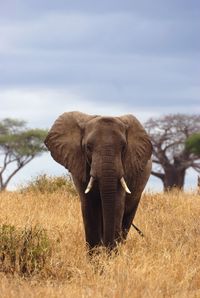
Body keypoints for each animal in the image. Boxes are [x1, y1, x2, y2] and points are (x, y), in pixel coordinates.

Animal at [45, 112, 152, 251]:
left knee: (128, 216)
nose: (108, 247)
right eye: (88, 147)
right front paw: (95, 255)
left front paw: (111, 254)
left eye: (123, 147)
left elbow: (117, 205)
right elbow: (89, 207)